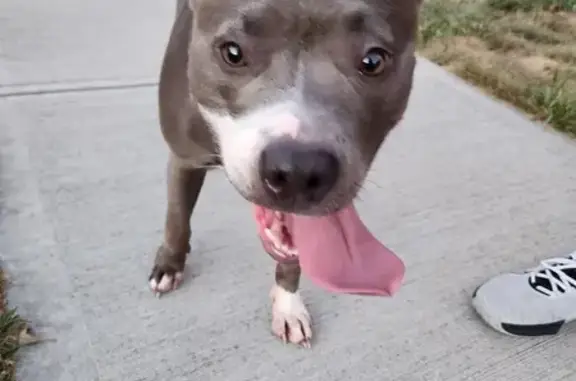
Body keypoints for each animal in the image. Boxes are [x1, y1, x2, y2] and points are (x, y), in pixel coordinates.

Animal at [146, 0, 420, 346]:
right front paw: (169, 263)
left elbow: (294, 256)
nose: (300, 169)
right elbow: (177, 218)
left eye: (373, 61)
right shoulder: (184, 157)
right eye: (232, 53)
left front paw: (288, 306)